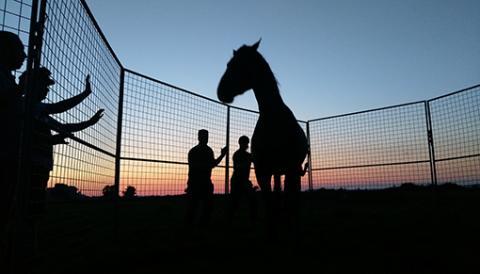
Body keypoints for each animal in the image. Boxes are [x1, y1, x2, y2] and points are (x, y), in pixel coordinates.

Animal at [218, 40, 308, 233]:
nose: (221, 91)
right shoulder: (263, 172)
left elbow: (286, 204)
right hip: (277, 172)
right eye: (229, 64)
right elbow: (271, 207)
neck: (273, 118)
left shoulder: (290, 169)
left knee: (292, 202)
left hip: (292, 171)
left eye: (240, 64)